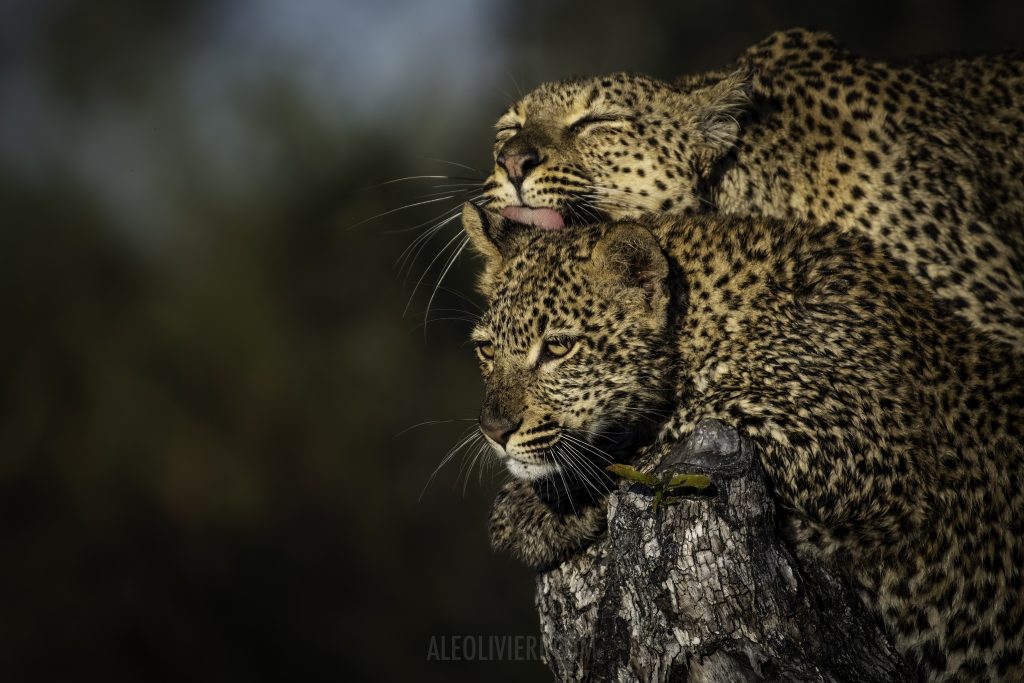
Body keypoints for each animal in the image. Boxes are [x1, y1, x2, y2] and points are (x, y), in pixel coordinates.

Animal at [461, 202, 1024, 681]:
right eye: (486, 350)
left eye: (559, 347)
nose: (494, 431)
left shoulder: (850, 439)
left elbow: (678, 430)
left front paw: (535, 511)